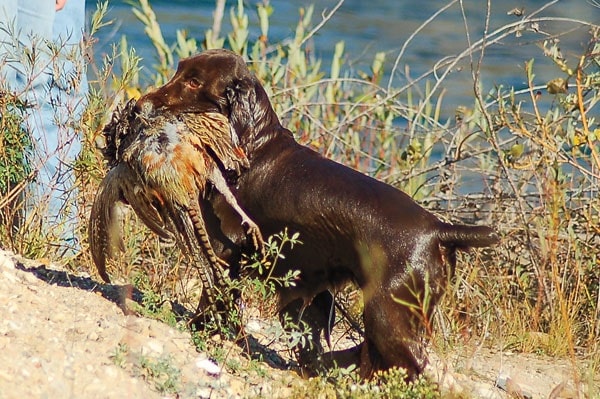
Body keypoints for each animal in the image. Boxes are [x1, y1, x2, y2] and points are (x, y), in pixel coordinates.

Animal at [138, 49, 500, 378]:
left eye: (194, 82)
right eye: (180, 70)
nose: (141, 106)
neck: (252, 146)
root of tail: (438, 229)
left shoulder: (224, 249)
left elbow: (214, 296)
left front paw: (198, 327)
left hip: (386, 312)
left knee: (409, 364)